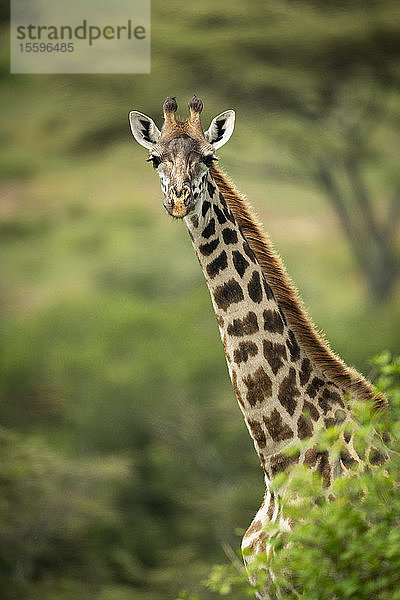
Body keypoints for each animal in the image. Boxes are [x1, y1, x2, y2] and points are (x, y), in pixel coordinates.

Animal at [129, 95, 388, 596]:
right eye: (154, 158)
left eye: (209, 158)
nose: (179, 199)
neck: (280, 459)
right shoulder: (271, 585)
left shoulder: (337, 576)